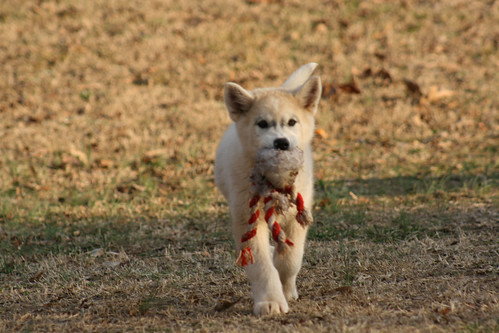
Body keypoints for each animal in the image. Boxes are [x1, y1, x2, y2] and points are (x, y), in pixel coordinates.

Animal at [215, 62, 320, 314]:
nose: (281, 142)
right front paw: (270, 301)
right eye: (262, 124)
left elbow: (291, 259)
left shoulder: (296, 218)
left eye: (292, 122)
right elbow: (262, 266)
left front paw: (287, 291)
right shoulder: (248, 219)